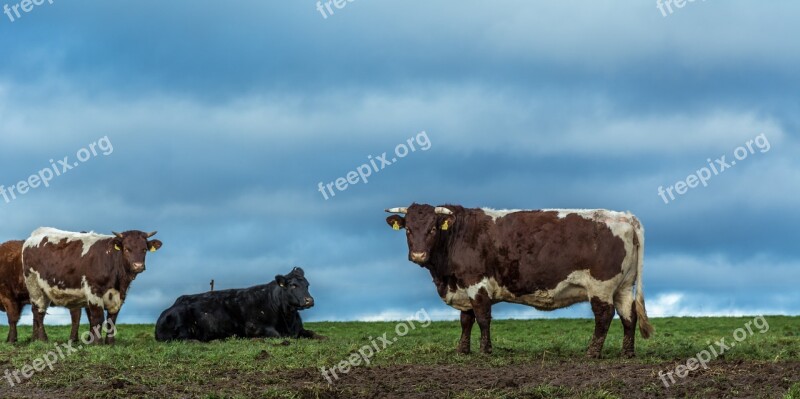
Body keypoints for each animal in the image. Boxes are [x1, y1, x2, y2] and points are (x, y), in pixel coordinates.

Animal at [21, 228, 163, 344]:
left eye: (144, 249)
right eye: (127, 249)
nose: (138, 266)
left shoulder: (120, 296)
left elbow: (112, 319)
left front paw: (110, 343)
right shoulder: (93, 289)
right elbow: (98, 317)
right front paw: (97, 343)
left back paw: (35, 339)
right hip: (34, 285)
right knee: (38, 311)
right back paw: (43, 339)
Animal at [155, 268, 320, 342]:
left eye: (307, 285)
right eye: (293, 285)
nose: (309, 300)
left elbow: (315, 334)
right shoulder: (255, 328)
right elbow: (277, 335)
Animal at [384, 203, 652, 360]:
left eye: (432, 229)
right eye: (408, 229)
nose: (418, 255)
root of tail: (625, 217)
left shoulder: (477, 284)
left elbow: (482, 318)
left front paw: (485, 351)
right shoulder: (463, 287)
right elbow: (465, 320)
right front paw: (462, 350)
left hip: (601, 286)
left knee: (604, 316)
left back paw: (592, 352)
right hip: (623, 286)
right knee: (629, 316)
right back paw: (627, 353)